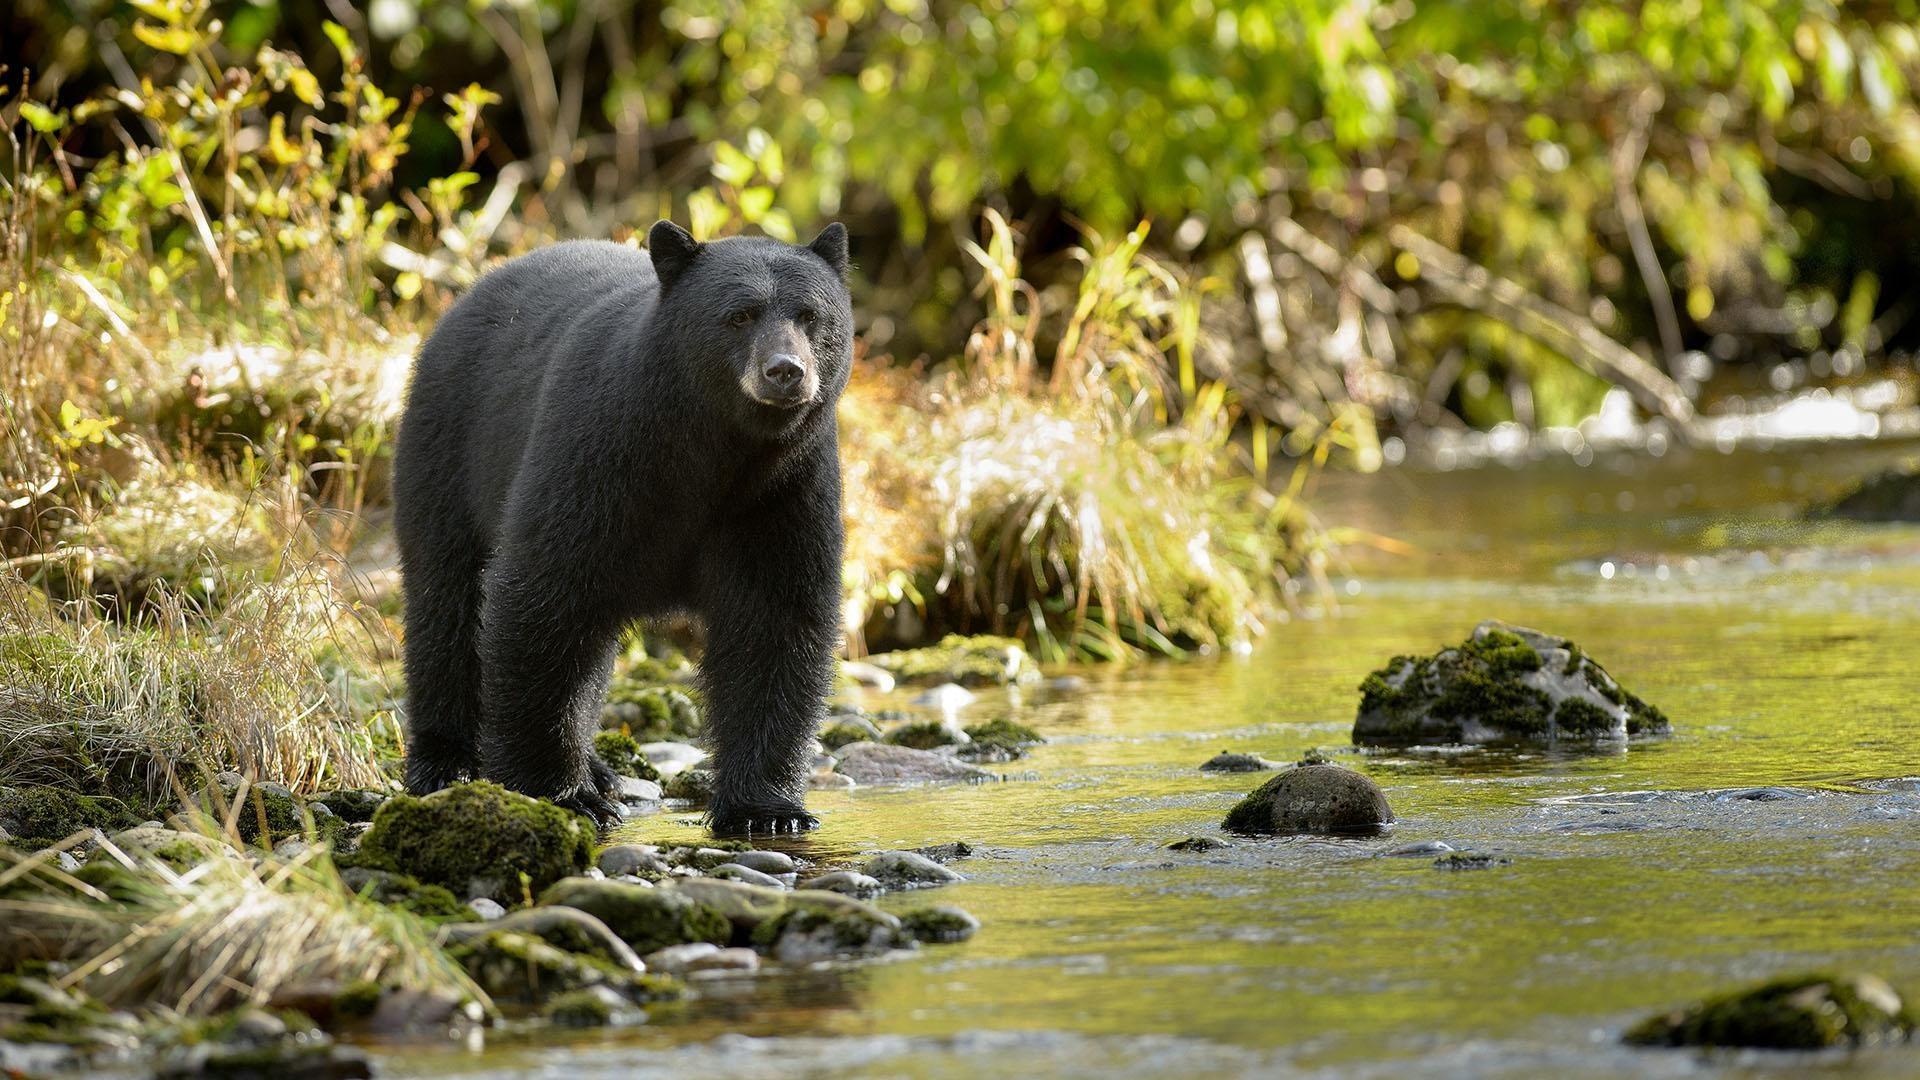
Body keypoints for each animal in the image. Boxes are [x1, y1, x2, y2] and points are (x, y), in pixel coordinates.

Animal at [392, 220, 851, 835]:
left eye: (809, 315)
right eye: (740, 315)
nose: (785, 371)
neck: (712, 449)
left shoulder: (782, 489)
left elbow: (775, 618)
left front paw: (767, 809)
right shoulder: (599, 454)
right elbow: (542, 596)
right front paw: (560, 793)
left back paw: (599, 769)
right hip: (447, 452)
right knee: (446, 601)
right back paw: (448, 762)